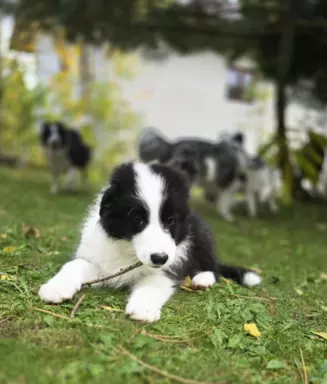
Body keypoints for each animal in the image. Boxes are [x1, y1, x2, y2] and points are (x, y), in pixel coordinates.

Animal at [38, 160, 262, 322]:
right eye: (137, 219)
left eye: (170, 220)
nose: (159, 257)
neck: (129, 250)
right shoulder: (99, 258)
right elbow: (75, 265)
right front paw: (55, 288)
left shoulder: (170, 265)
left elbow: (153, 283)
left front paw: (142, 309)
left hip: (201, 233)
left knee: (212, 266)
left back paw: (202, 279)